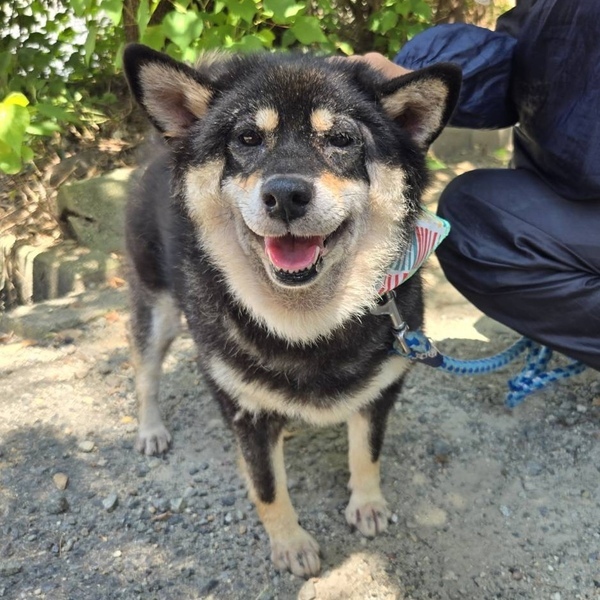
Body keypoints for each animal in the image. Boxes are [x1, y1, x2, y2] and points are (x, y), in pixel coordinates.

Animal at [123, 44, 460, 577]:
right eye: (246, 137)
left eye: (342, 138)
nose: (284, 194)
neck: (305, 323)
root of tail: (163, 145)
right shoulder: (246, 412)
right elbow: (268, 488)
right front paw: (290, 543)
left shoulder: (380, 391)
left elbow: (366, 453)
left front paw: (368, 504)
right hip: (154, 306)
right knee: (145, 371)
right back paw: (151, 428)